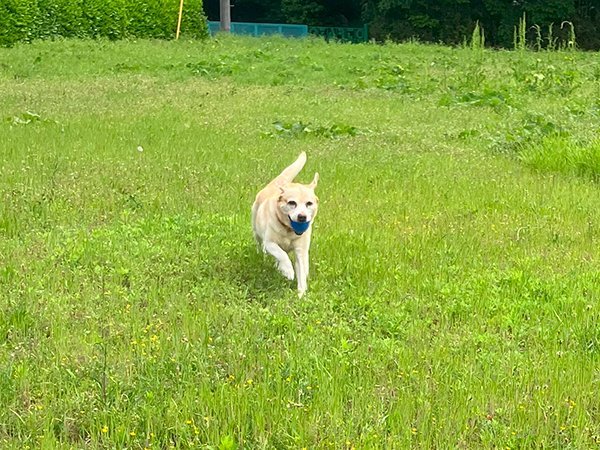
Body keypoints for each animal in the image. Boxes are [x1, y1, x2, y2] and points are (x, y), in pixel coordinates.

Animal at [252, 153, 318, 298]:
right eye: (292, 203)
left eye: (309, 203)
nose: (302, 217)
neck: (289, 231)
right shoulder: (270, 243)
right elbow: (281, 254)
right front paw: (288, 271)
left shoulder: (300, 250)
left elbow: (301, 270)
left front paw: (301, 294)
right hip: (256, 229)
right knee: (260, 244)